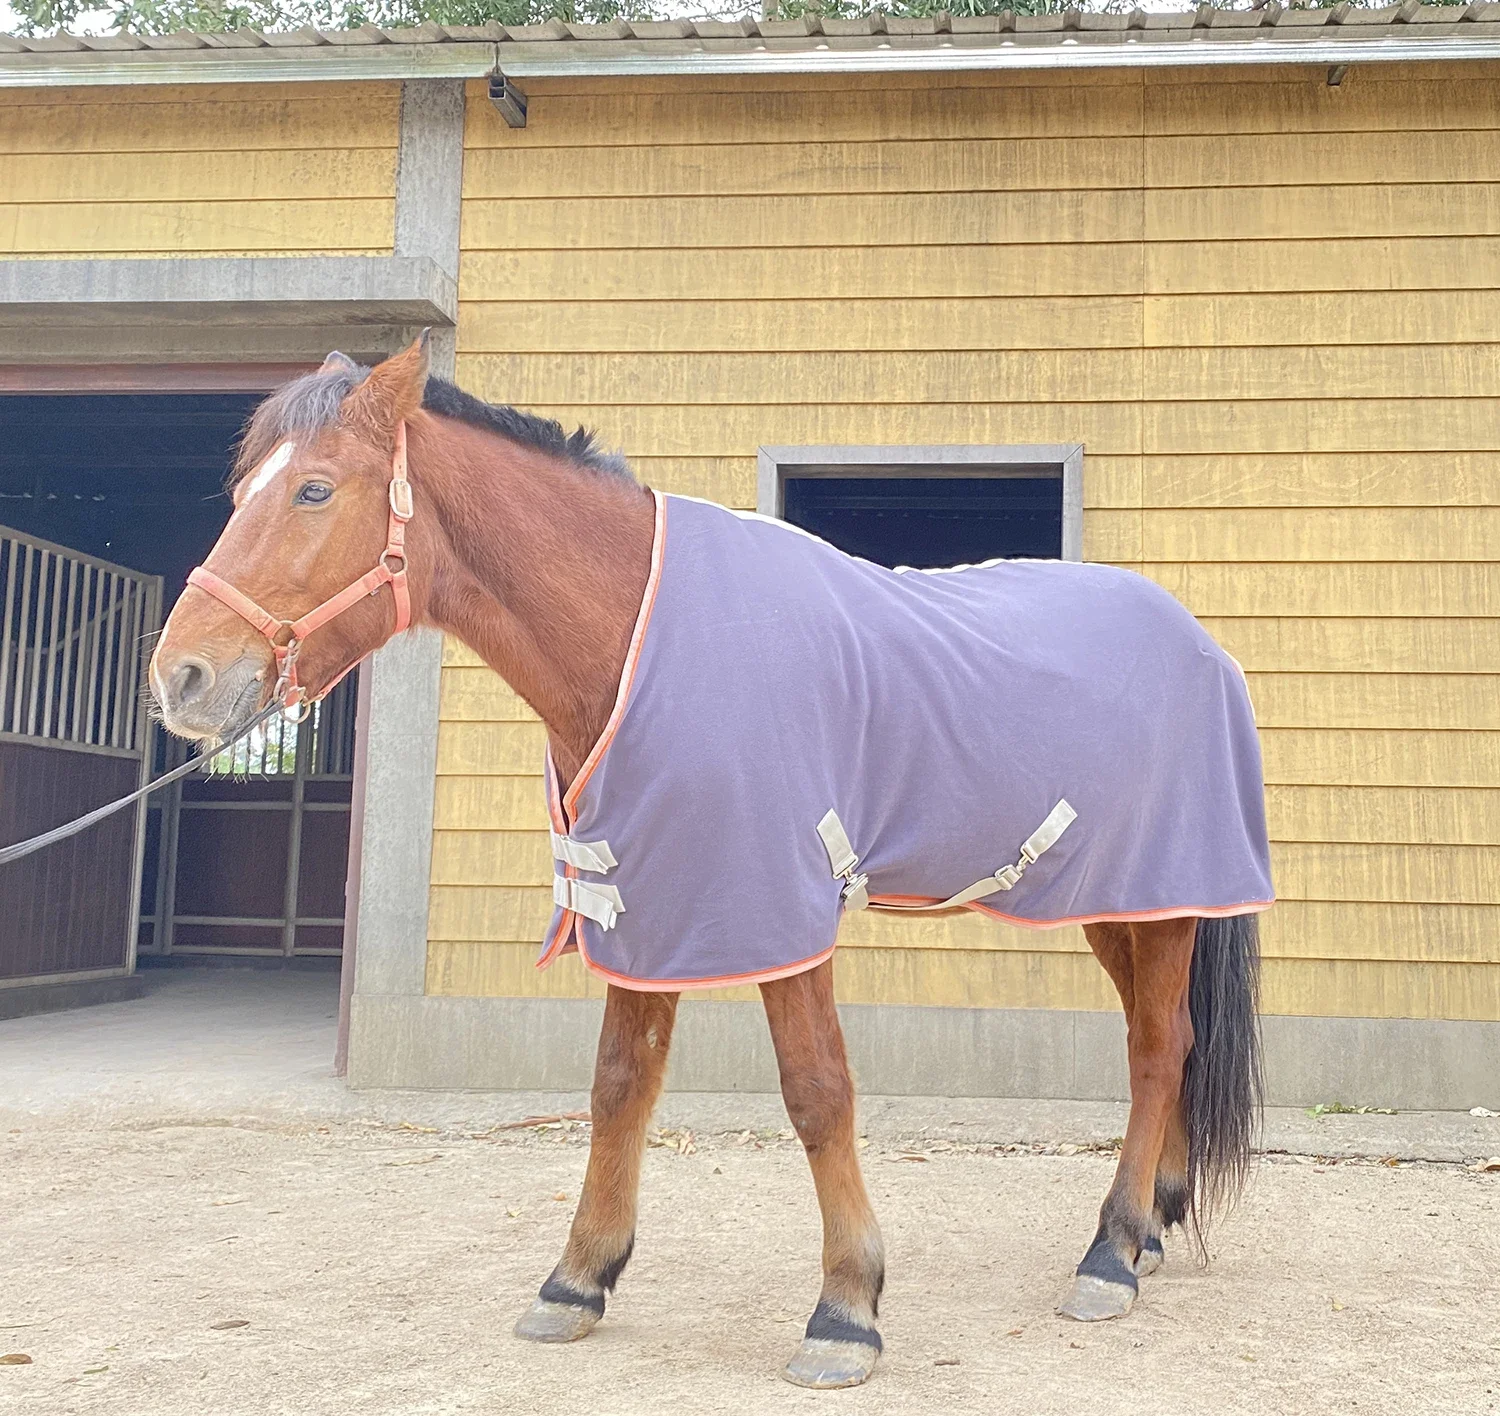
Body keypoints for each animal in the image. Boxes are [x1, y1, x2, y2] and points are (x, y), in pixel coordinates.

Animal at [152, 337, 1272, 1386]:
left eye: (313, 489)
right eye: (242, 490)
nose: (181, 679)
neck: (639, 640)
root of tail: (1202, 644)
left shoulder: (776, 905)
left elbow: (818, 1091)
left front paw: (845, 1308)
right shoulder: (641, 894)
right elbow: (618, 1084)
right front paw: (577, 1279)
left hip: (1165, 895)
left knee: (1156, 1047)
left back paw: (1110, 1256)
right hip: (1120, 903)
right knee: (1161, 1041)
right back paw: (1152, 1225)